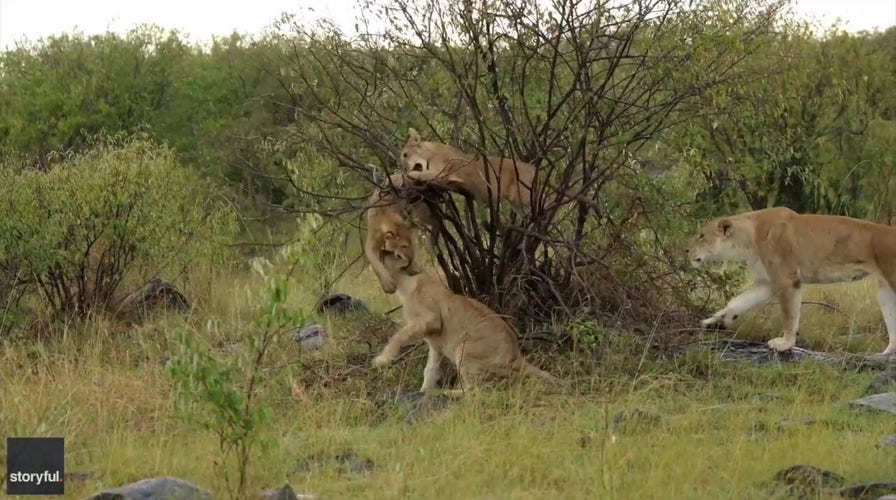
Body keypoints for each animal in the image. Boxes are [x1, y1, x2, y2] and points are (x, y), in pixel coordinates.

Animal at [370, 248, 565, 392]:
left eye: (389, 254)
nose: (379, 251)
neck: (404, 285)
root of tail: (517, 357)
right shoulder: (436, 346)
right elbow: (430, 370)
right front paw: (424, 390)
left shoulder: (432, 319)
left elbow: (398, 336)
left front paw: (382, 360)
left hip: (464, 349)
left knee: (473, 392)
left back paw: (449, 393)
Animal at [687, 206, 896, 356]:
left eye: (701, 235)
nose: (686, 250)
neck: (749, 239)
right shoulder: (766, 283)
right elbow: (738, 301)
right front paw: (715, 322)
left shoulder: (787, 279)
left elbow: (789, 315)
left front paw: (784, 344)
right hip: (884, 292)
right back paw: (885, 354)